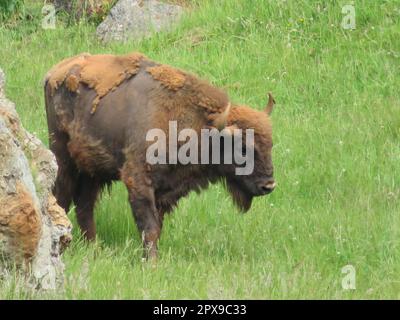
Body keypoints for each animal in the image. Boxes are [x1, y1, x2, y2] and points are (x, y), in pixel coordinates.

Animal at [43, 52, 276, 258]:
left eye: (270, 145)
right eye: (243, 147)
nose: (269, 185)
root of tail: (53, 73)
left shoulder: (165, 191)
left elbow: (157, 225)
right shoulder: (138, 181)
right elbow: (150, 227)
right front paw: (151, 262)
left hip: (92, 170)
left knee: (85, 206)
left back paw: (93, 248)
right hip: (63, 158)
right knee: (62, 198)